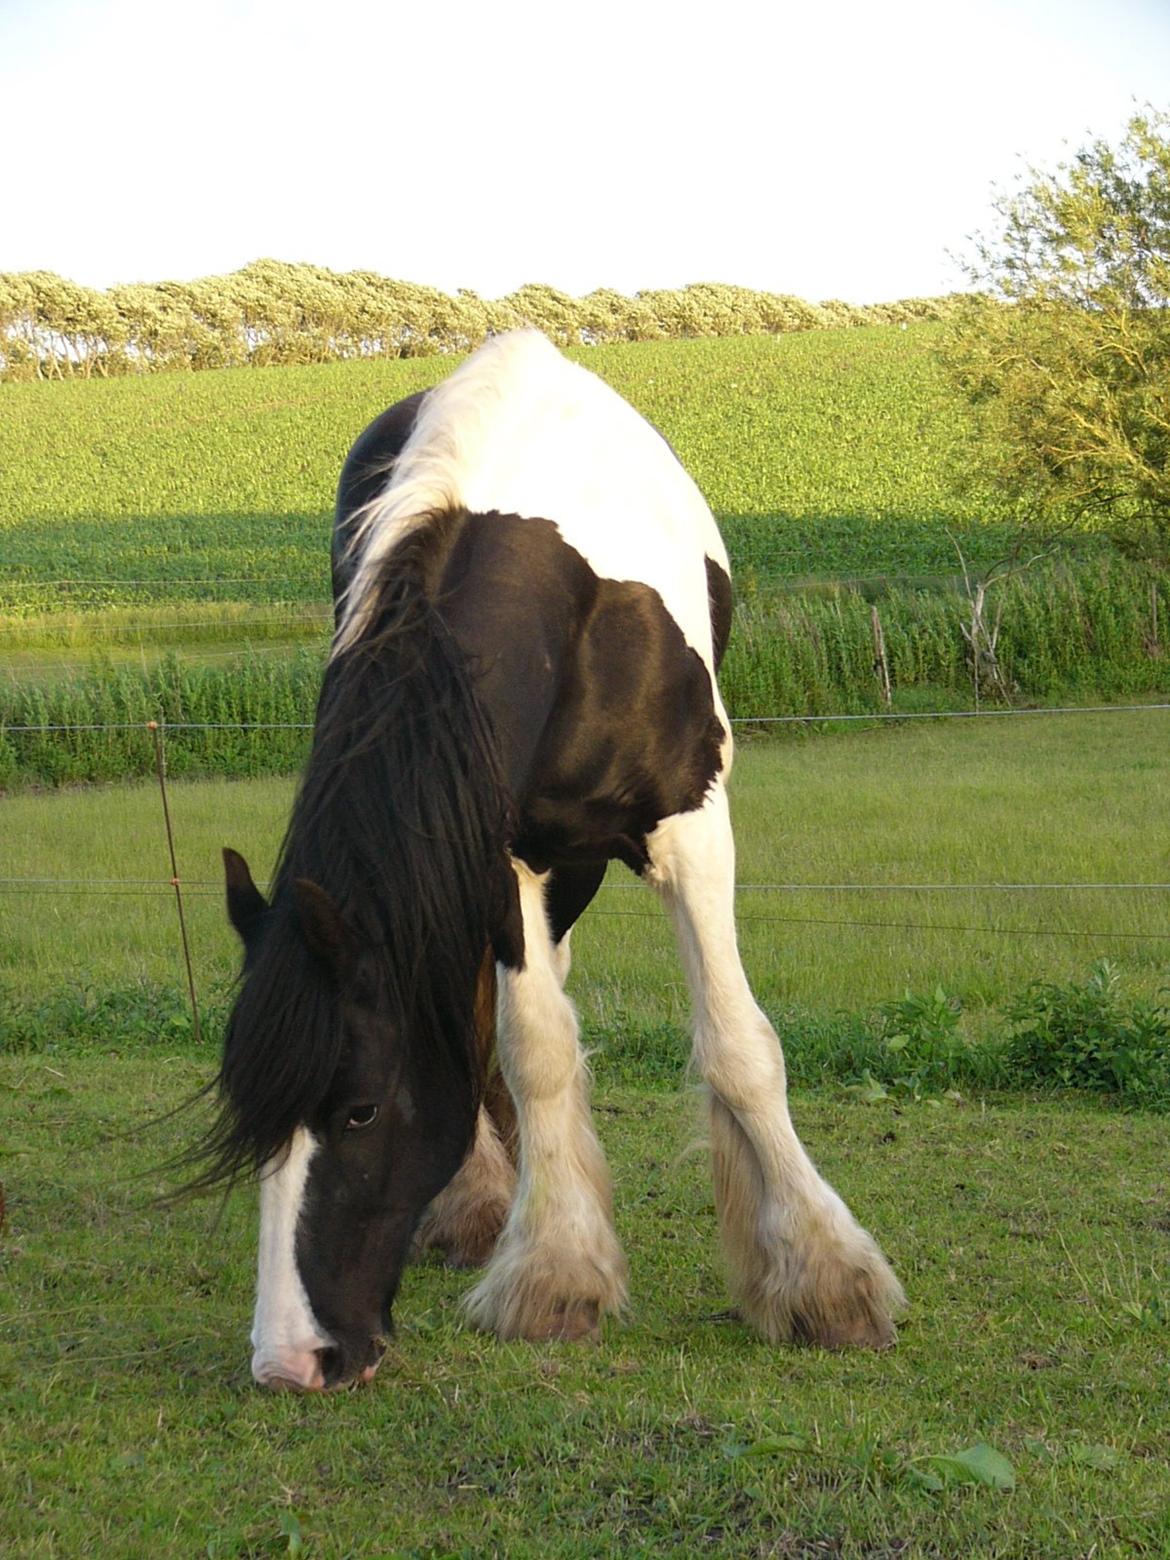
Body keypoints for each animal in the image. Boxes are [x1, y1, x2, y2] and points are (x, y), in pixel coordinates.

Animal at [197, 329, 904, 1391]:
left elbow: (740, 1049)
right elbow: (534, 1047)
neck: (567, 601)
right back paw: (484, 1199)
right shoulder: (502, 854)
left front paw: (824, 1278)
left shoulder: (693, 828)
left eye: (360, 1111)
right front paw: (556, 1270)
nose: (291, 1359)